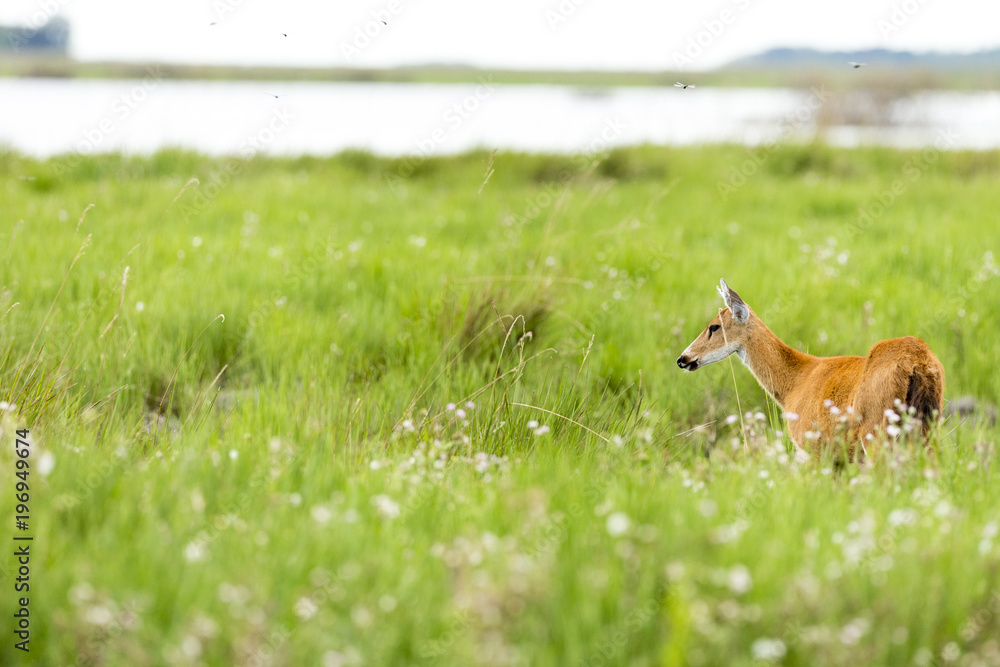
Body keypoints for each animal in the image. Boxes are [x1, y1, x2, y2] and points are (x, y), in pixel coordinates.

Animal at [676, 279, 945, 457]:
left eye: (714, 327)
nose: (683, 358)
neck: (795, 382)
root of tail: (918, 360)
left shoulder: (811, 445)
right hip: (928, 423)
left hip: (878, 429)